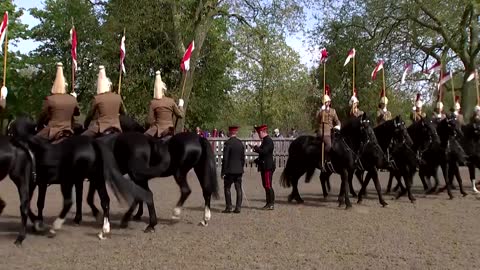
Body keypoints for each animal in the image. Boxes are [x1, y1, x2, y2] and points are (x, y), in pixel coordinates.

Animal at [8, 116, 154, 240]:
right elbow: (84, 198)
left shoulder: (39, 183)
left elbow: (36, 203)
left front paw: (38, 223)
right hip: (102, 178)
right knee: (114, 199)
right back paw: (110, 227)